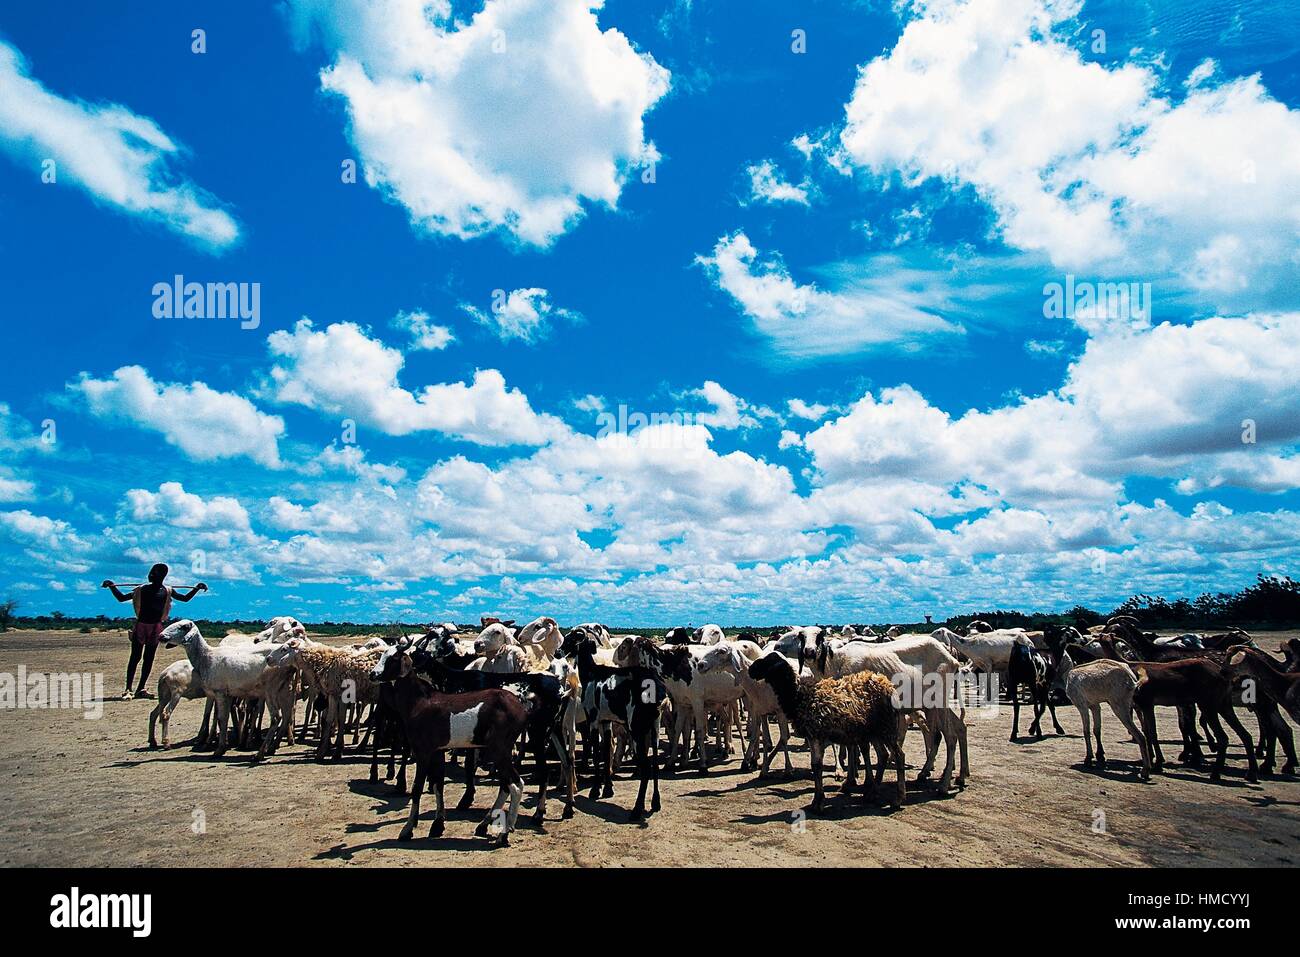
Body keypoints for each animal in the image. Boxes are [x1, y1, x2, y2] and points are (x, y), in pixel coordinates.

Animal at [749, 654, 909, 810]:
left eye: (768, 662)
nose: (750, 669)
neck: (799, 697)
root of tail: (890, 687)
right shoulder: (812, 735)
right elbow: (815, 765)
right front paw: (817, 800)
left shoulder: (816, 734)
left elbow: (818, 766)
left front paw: (818, 802)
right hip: (874, 731)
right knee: (883, 755)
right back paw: (871, 793)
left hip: (887, 727)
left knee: (899, 756)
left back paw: (898, 798)